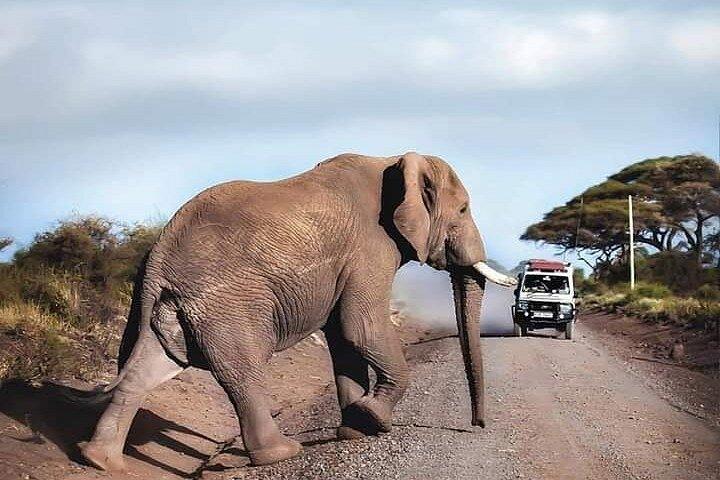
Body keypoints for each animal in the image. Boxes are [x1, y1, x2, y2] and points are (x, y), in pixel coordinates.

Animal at [79, 152, 516, 471]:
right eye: (463, 210)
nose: (477, 426)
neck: (393, 161)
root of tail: (158, 259)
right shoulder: (370, 247)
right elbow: (360, 327)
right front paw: (372, 417)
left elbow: (343, 338)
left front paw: (355, 430)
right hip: (226, 305)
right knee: (244, 371)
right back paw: (281, 453)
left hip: (165, 306)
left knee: (148, 367)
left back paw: (100, 461)